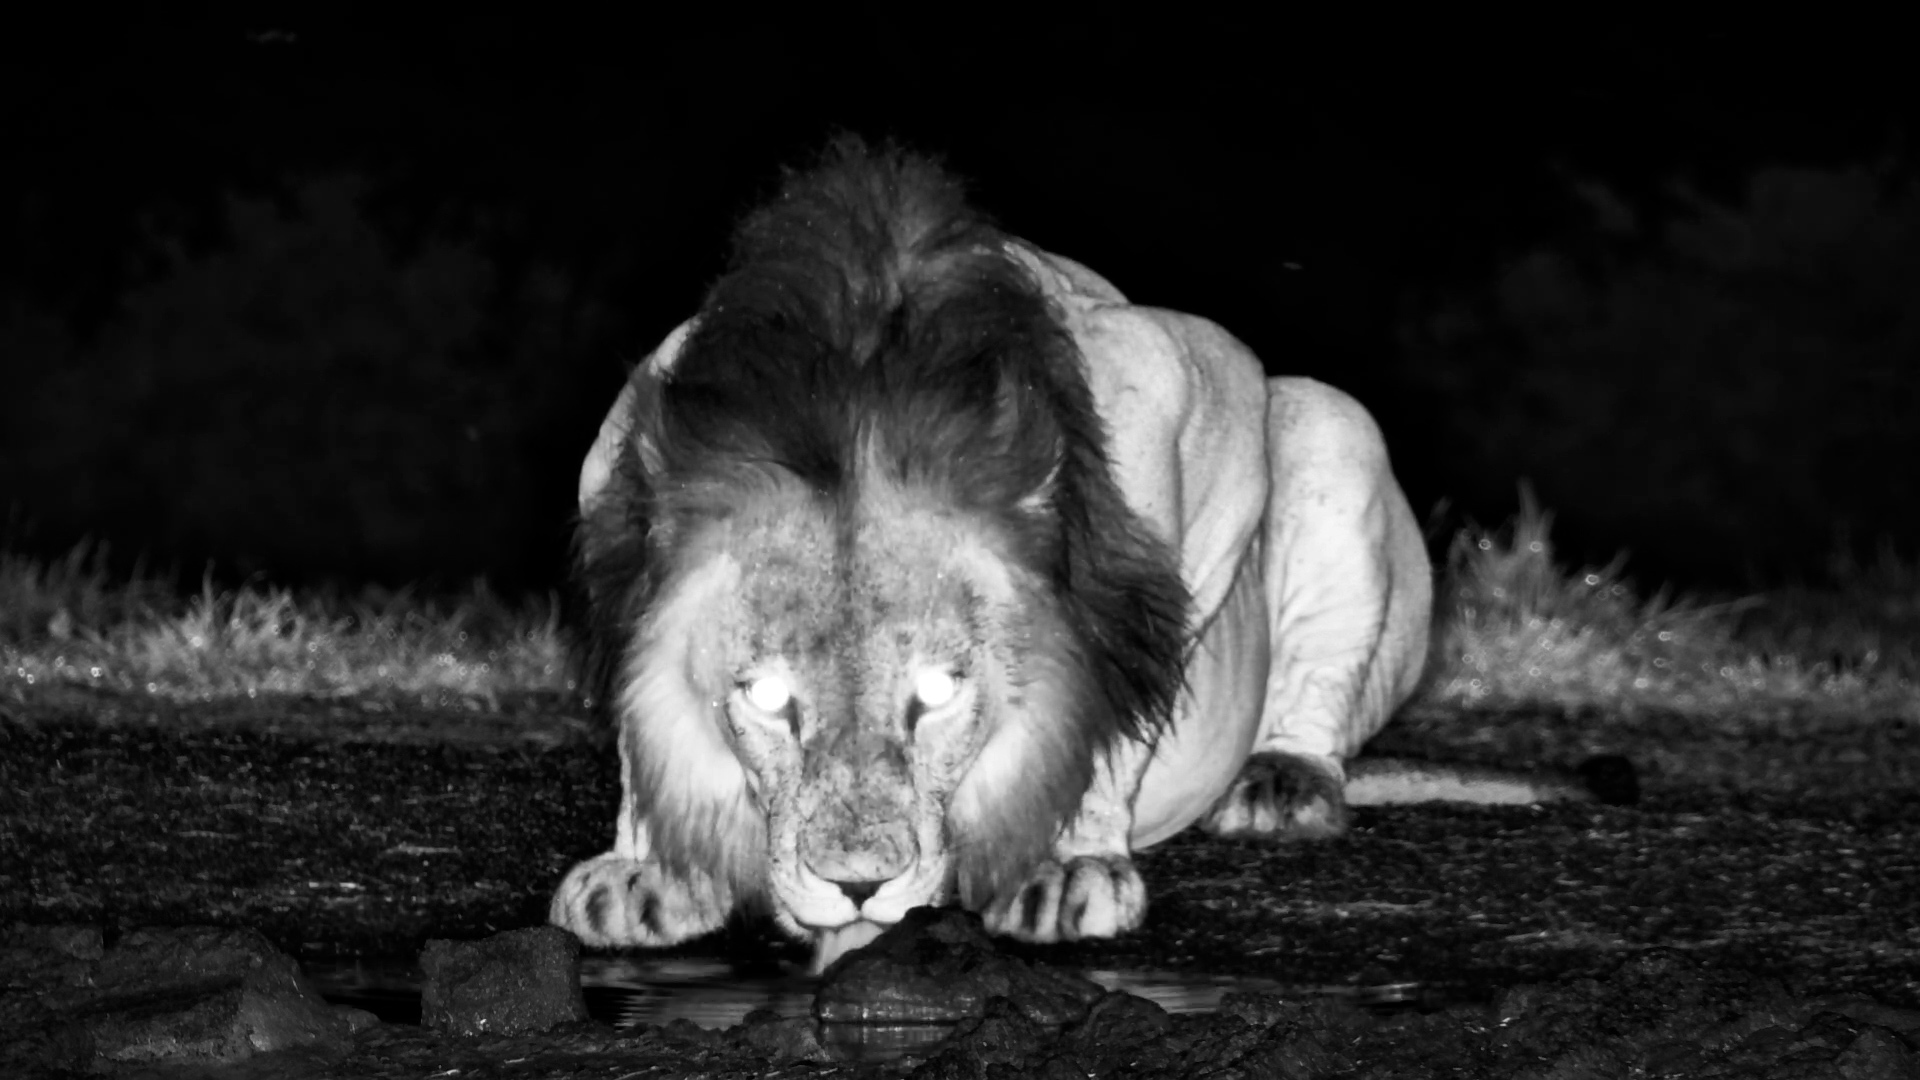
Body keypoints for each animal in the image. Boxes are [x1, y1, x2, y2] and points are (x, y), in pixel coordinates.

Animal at [550, 140, 1600, 970]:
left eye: (940, 693)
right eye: (767, 698)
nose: (857, 887)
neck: (859, 389)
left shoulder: (1196, 382)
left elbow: (1115, 676)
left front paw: (1064, 861)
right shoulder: (614, 465)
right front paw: (650, 862)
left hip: (1328, 422)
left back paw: (1282, 782)